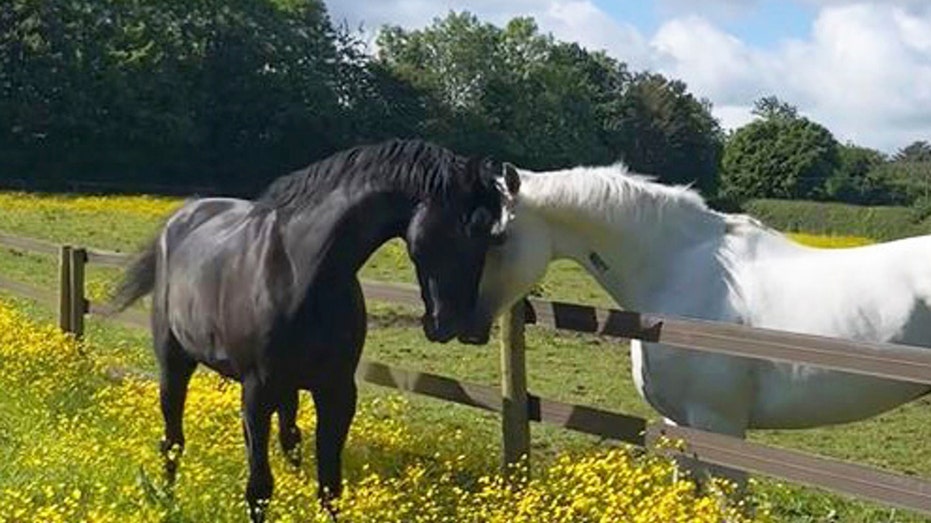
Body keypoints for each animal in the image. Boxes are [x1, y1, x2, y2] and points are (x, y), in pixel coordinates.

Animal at [107, 140, 524, 523]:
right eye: (462, 228)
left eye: (494, 236)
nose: (458, 325)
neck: (300, 271)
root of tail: (180, 218)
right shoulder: (257, 391)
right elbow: (259, 487)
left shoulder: (336, 391)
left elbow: (328, 485)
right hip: (175, 363)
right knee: (172, 441)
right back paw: (166, 499)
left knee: (288, 439)